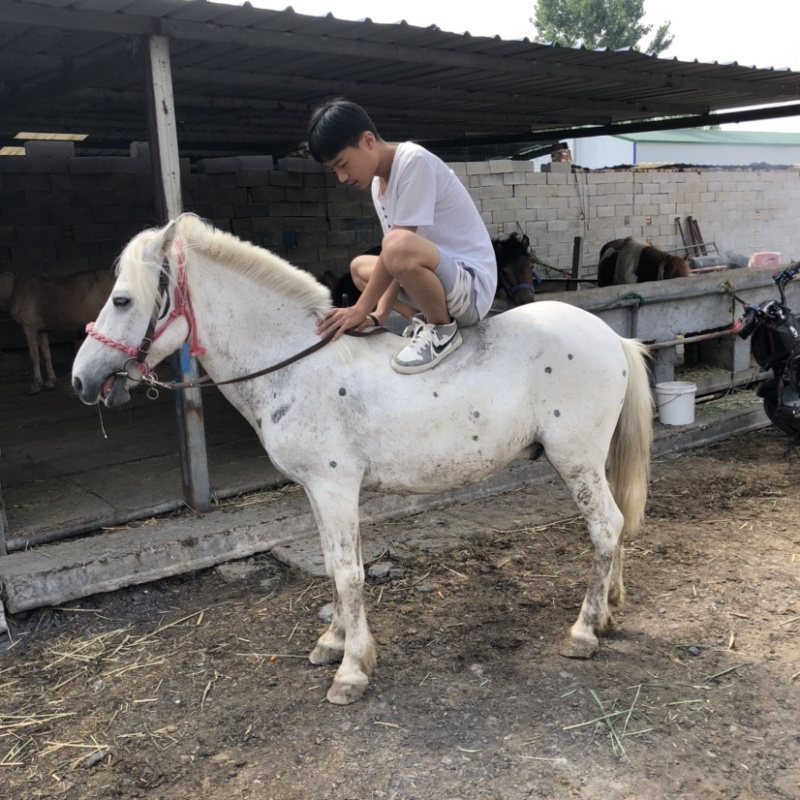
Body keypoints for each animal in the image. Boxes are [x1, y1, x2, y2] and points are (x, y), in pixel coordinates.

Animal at [71, 213, 653, 706]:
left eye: (122, 300)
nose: (81, 379)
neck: (295, 364)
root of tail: (611, 336)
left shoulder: (335, 488)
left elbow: (350, 574)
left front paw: (351, 670)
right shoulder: (315, 490)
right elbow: (332, 566)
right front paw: (332, 643)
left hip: (575, 459)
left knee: (605, 527)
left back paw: (583, 631)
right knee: (615, 525)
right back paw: (608, 610)